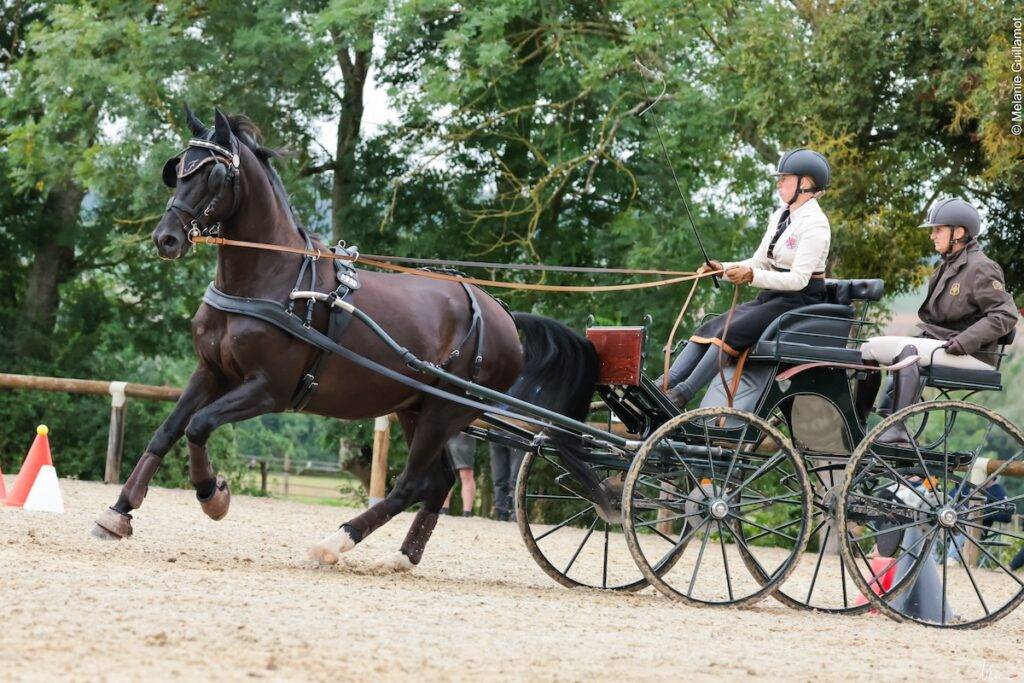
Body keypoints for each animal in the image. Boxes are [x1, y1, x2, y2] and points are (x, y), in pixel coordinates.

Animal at [92, 105, 610, 571]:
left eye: (214, 174)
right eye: (178, 169)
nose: (166, 238)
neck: (271, 278)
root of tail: (502, 314)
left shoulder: (268, 389)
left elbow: (199, 426)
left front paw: (212, 494)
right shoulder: (212, 371)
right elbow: (168, 430)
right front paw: (119, 512)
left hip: (447, 410)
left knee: (412, 484)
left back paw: (335, 542)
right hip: (418, 406)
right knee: (438, 481)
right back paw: (404, 556)